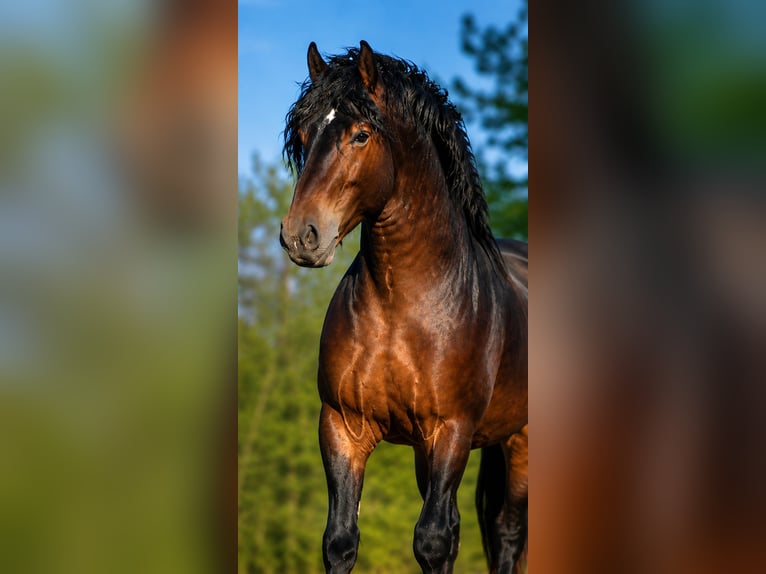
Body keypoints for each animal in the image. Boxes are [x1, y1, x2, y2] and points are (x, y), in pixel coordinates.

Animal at [280, 41, 528, 574]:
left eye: (361, 134)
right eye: (304, 136)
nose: (301, 236)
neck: (402, 306)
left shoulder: (451, 430)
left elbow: (432, 540)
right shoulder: (342, 426)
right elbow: (340, 539)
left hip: (518, 442)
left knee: (507, 534)